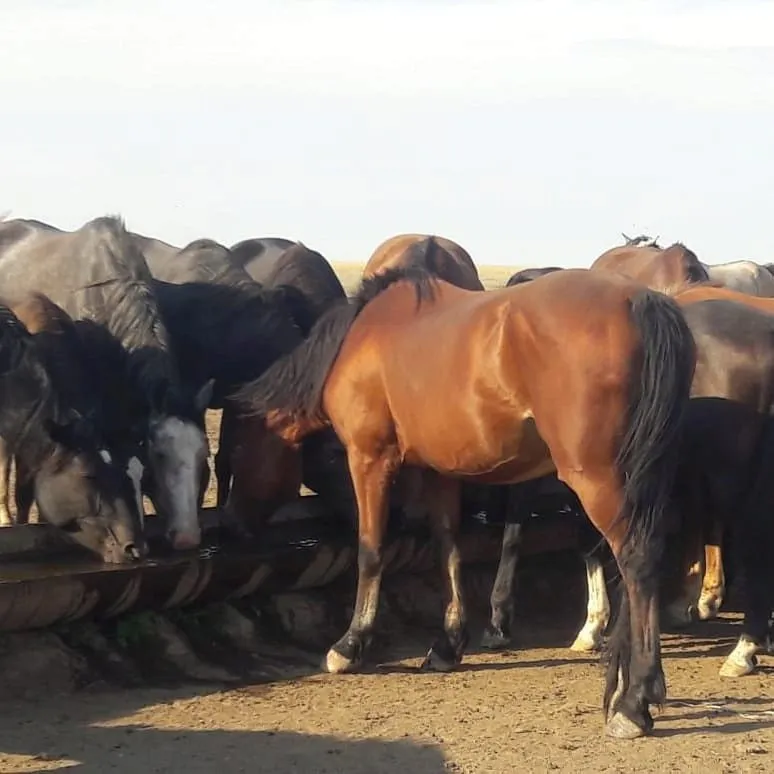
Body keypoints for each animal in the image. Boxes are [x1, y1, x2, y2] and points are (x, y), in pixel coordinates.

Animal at [233, 258, 700, 744]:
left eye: (237, 448)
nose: (236, 522)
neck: (361, 338)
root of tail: (641, 300)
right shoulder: (439, 471)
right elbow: (448, 547)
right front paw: (448, 643)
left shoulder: (369, 457)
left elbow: (371, 550)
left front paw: (350, 643)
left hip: (597, 478)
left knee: (637, 562)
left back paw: (635, 701)